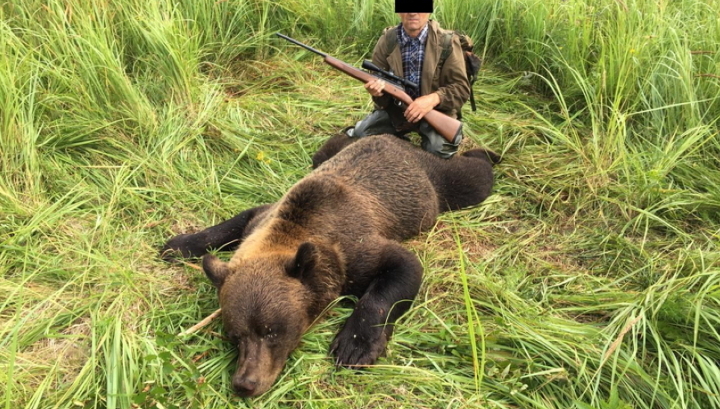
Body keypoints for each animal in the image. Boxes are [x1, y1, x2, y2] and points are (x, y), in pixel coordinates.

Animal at [162, 134, 500, 396]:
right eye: (235, 335)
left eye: (272, 331)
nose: (245, 383)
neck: (295, 230)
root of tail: (395, 139)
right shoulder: (258, 222)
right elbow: (235, 221)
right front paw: (178, 244)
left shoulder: (353, 251)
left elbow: (401, 269)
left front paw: (354, 345)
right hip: (333, 150)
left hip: (431, 179)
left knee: (470, 179)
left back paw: (488, 153)